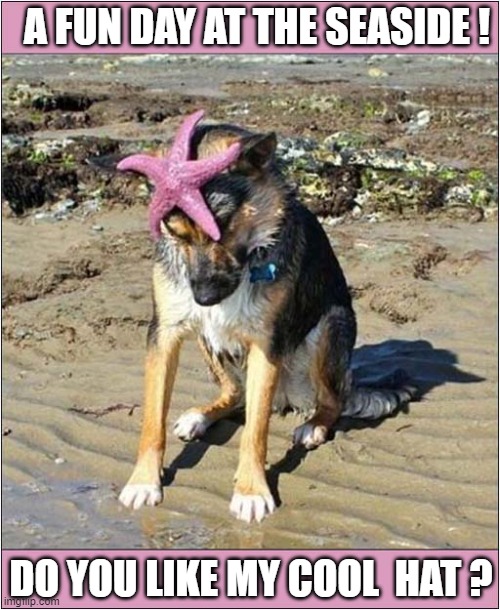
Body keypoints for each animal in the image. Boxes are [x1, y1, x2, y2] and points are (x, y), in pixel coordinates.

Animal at [116, 121, 414, 520]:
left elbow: (254, 432)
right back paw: (201, 416)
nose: (204, 299)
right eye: (174, 234)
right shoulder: (164, 334)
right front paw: (144, 482)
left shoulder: (266, 344)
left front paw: (251, 491)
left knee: (330, 401)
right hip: (208, 339)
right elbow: (152, 421)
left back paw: (313, 426)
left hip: (330, 327)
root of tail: (288, 399)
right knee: (234, 393)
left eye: (222, 227)